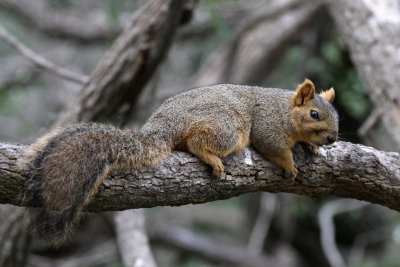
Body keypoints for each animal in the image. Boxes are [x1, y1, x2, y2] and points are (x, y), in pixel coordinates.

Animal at [20, 79, 340, 247]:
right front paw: (290, 164)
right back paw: (211, 157)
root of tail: (166, 122)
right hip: (228, 127)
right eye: (314, 114)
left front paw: (311, 147)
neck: (286, 110)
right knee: (197, 142)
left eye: (336, 116)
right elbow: (273, 147)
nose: (333, 138)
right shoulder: (268, 127)